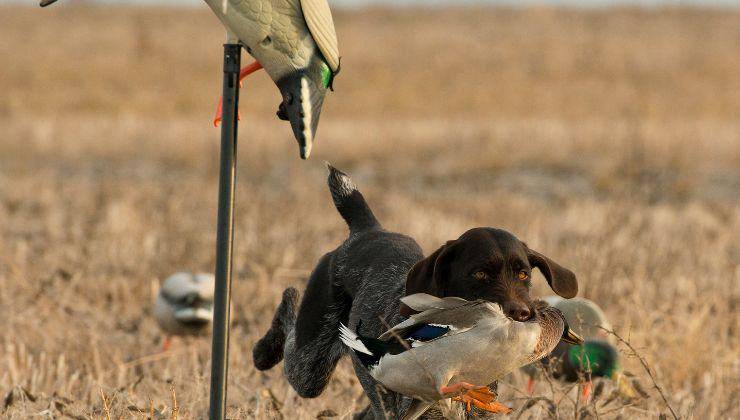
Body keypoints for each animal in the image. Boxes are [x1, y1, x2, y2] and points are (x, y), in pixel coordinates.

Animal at [254, 166, 580, 418]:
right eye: (479, 274)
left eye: (523, 274)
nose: (522, 315)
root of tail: (368, 231)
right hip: (310, 366)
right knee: (290, 311)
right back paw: (265, 348)